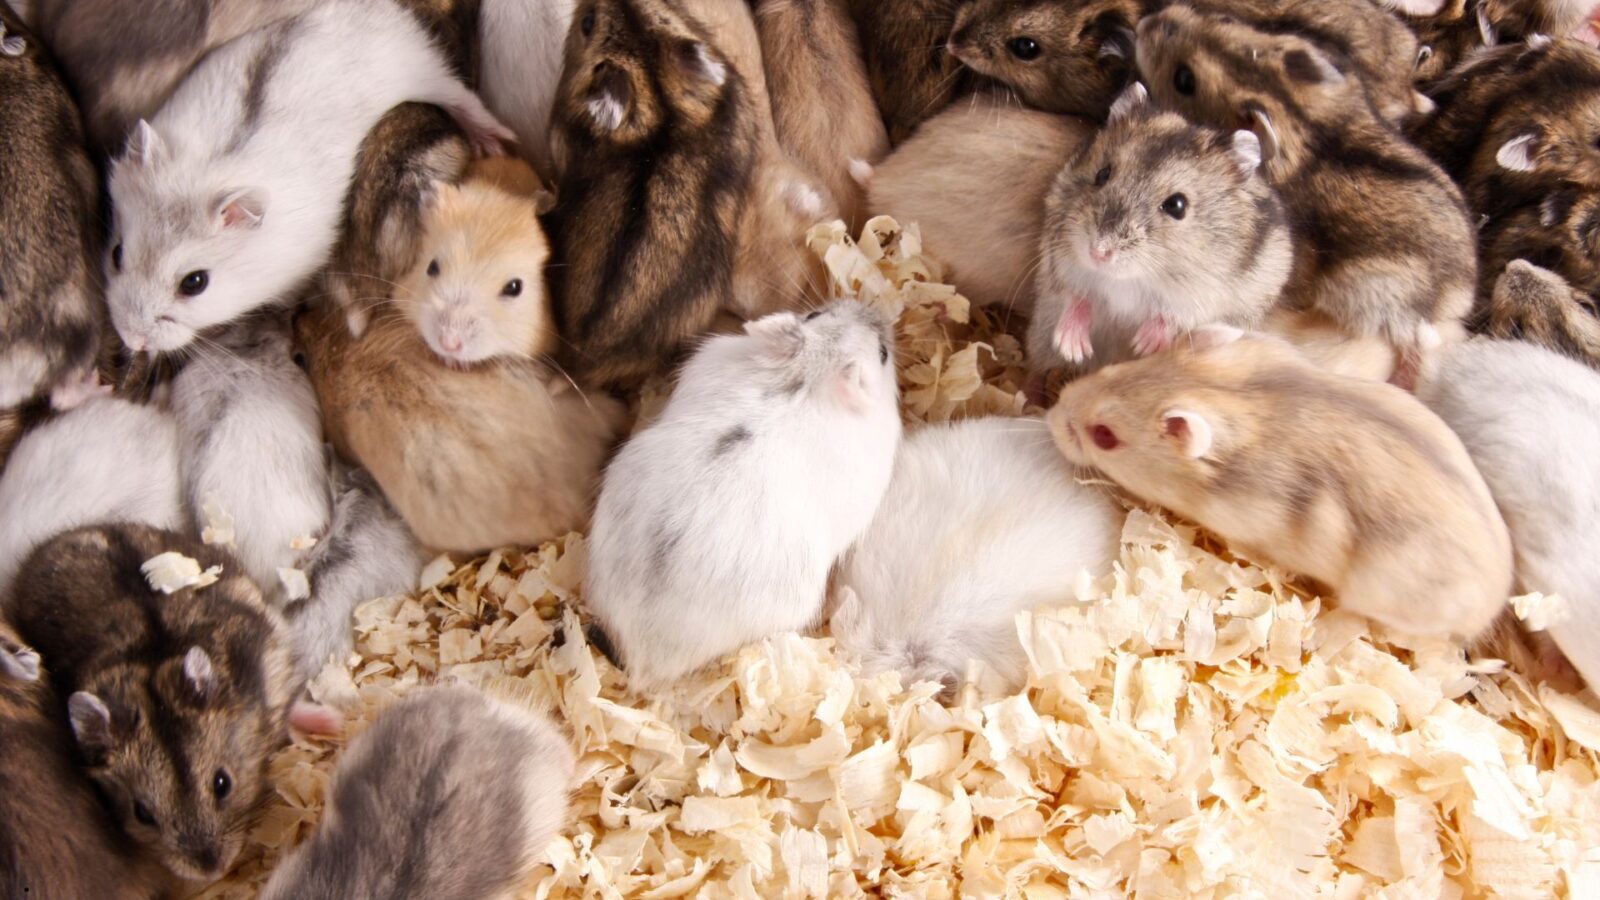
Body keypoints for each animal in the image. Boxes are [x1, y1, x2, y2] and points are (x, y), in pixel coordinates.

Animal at [1029, 84, 1292, 374]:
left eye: (1177, 205)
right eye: (1102, 174)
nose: (1098, 253)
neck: (1129, 279)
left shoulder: (1205, 296)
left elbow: (1173, 316)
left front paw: (1143, 345)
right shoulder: (1060, 261)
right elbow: (1075, 296)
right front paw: (1072, 348)